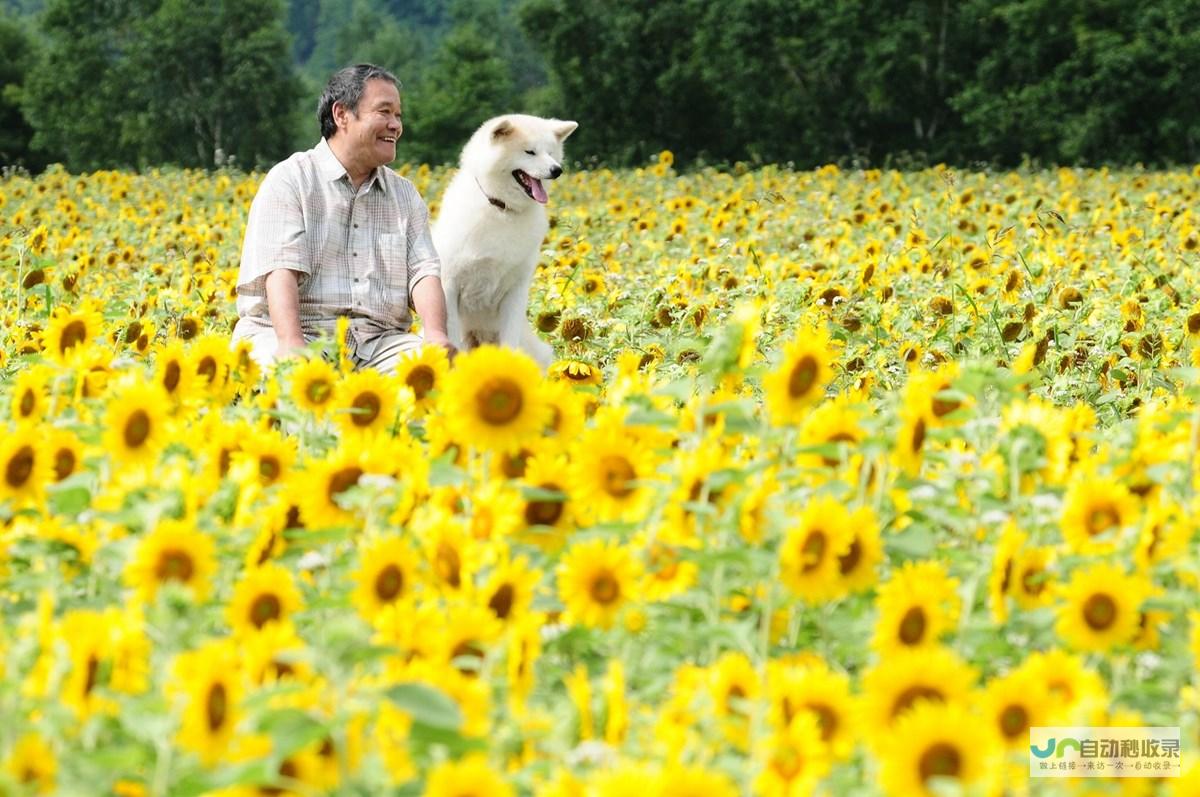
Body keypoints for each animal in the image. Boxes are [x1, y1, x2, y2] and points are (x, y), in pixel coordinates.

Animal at [434, 112, 578, 367]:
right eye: (529, 152)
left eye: (550, 152)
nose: (557, 169)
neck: (502, 209)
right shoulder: (449, 286)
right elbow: (451, 337)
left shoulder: (515, 291)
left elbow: (509, 343)